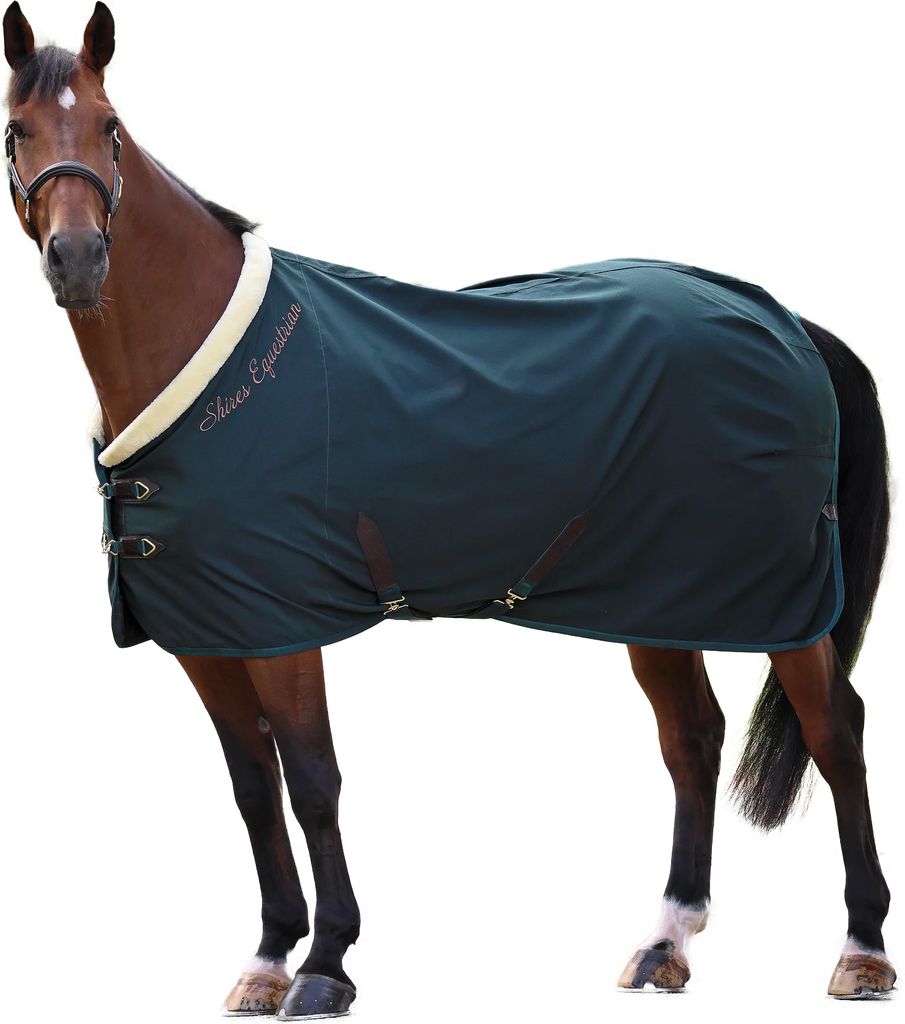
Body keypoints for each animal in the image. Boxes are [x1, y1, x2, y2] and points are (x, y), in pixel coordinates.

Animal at [3, 2, 896, 1015]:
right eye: (16, 131)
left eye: (110, 129)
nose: (78, 260)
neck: (204, 366)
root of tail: (788, 321)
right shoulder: (208, 638)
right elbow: (251, 788)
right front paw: (268, 958)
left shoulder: (284, 629)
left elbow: (313, 782)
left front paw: (326, 963)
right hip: (662, 598)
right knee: (692, 738)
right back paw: (665, 940)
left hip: (785, 603)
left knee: (835, 732)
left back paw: (861, 950)